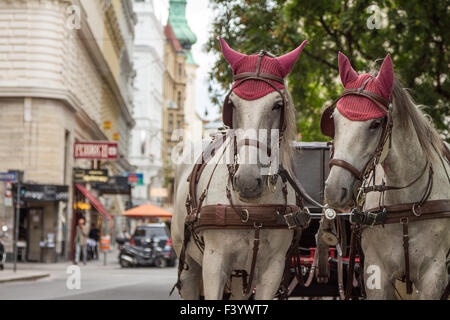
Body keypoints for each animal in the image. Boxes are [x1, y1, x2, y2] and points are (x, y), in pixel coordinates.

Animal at [171, 39, 308, 300]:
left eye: (277, 105)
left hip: (242, 273)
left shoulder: (273, 269)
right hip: (189, 264)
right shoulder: (214, 264)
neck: (252, 210)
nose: (247, 181)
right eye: (232, 104)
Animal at [322, 52, 448, 300]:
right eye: (335, 119)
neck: (406, 205)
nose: (333, 189)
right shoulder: (376, 272)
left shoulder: (434, 276)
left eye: (375, 123)